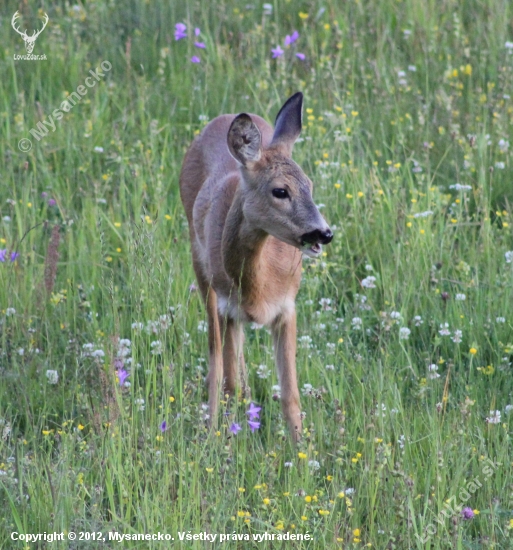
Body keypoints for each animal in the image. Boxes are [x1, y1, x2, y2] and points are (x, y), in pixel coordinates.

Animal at [179, 92, 332, 442]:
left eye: (310, 184)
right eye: (280, 191)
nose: (324, 233)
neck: (258, 287)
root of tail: (222, 118)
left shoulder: (287, 306)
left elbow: (290, 394)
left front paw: (300, 449)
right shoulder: (224, 305)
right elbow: (223, 373)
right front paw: (216, 438)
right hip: (199, 262)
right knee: (221, 360)